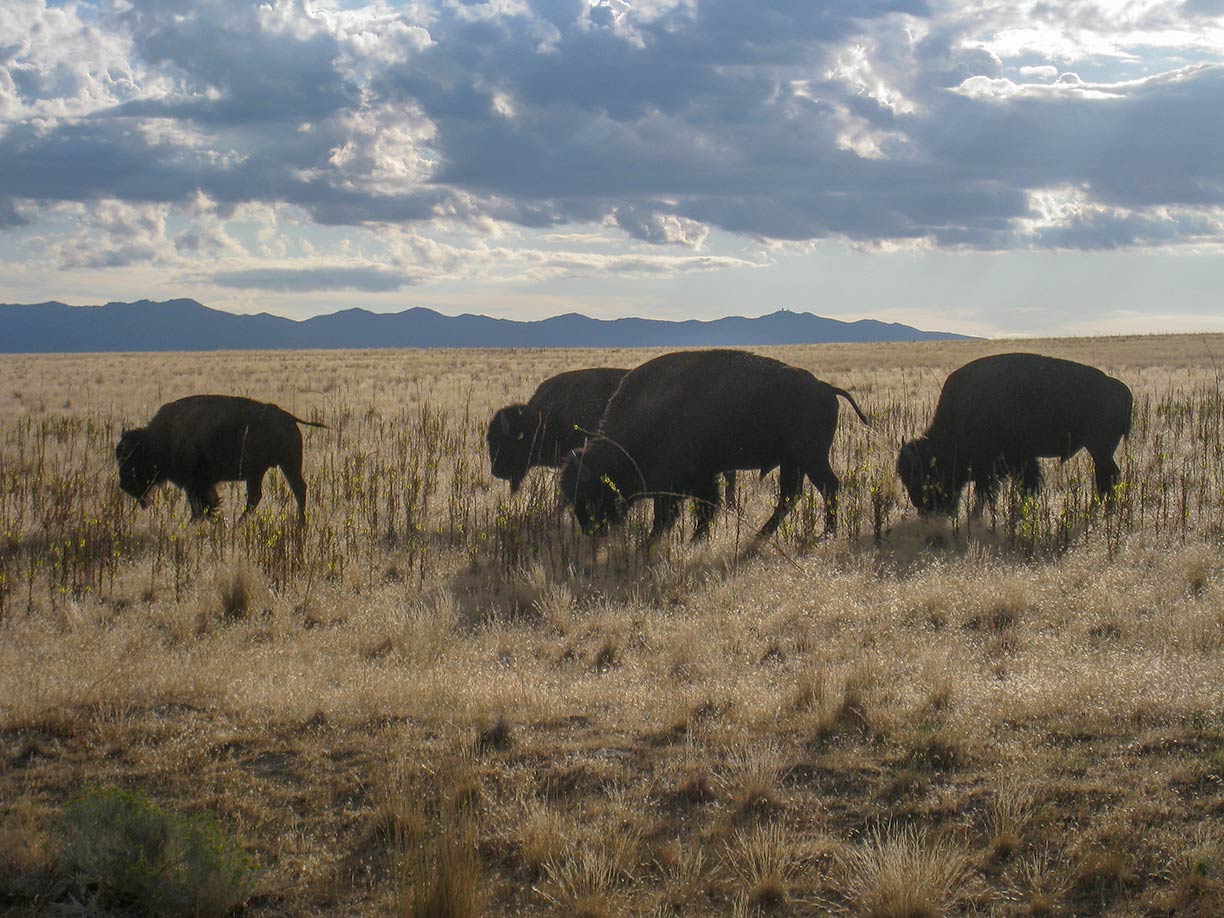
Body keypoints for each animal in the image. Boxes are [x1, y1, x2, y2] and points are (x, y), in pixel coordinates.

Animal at [113, 396, 325, 523]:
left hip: (284, 465)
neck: (156, 439)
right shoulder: (198, 484)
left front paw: (198, 521)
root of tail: (289, 417)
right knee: (262, 496)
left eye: (131, 461)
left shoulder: (196, 484)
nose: (123, 484)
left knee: (296, 489)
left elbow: (202, 504)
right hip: (266, 470)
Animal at [560, 347, 866, 543]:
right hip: (794, 462)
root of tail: (826, 387)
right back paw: (762, 536)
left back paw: (826, 533)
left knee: (826, 487)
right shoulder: (700, 478)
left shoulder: (685, 482)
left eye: (590, 493)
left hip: (811, 458)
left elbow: (677, 513)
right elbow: (702, 507)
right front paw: (695, 538)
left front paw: (662, 541)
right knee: (791, 496)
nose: (590, 531)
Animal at [895, 352, 1130, 518]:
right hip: (1100, 451)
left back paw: (1101, 508)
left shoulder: (1003, 464)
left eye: (924, 475)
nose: (924, 509)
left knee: (1108, 477)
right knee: (1107, 477)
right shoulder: (1016, 462)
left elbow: (992, 492)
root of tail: (1118, 387)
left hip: (1099, 450)